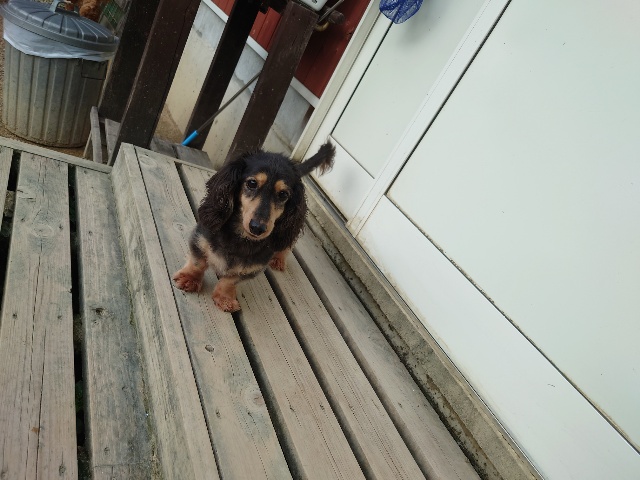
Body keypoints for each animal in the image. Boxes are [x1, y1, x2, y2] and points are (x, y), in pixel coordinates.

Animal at [172, 143, 335, 312]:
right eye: (252, 183)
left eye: (283, 194)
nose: (257, 228)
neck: (240, 238)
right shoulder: (200, 240)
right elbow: (198, 263)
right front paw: (189, 279)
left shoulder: (252, 267)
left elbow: (230, 280)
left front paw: (224, 298)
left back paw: (279, 259)